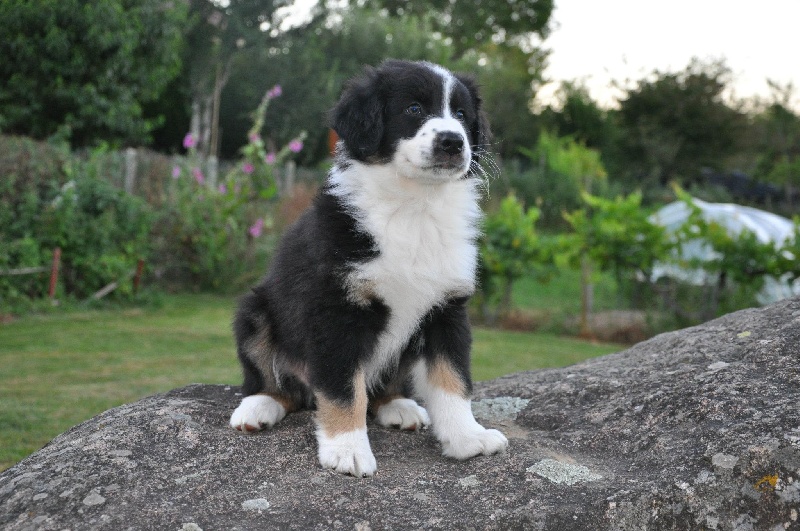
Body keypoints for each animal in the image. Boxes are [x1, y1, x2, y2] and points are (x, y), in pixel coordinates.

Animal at [229, 59, 508, 477]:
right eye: (413, 109)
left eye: (461, 115)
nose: (453, 142)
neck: (414, 207)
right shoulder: (336, 309)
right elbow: (345, 390)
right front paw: (347, 450)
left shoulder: (447, 309)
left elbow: (453, 381)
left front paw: (467, 437)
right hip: (256, 310)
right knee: (275, 383)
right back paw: (258, 406)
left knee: (381, 387)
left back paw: (399, 406)